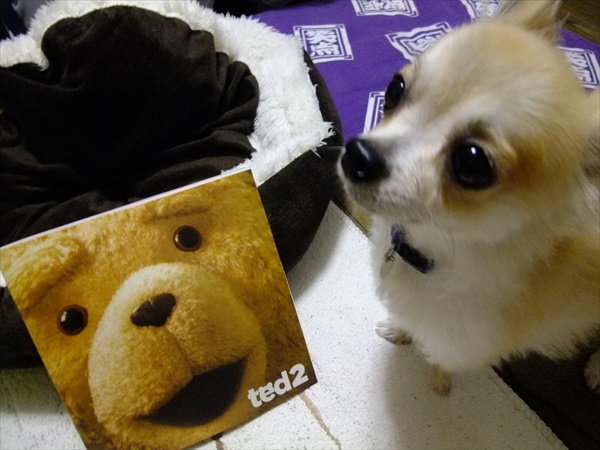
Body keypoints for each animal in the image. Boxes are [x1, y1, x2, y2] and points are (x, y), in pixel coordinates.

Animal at [338, 0, 600, 395]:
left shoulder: (466, 340)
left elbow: (442, 353)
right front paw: (400, 329)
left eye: (472, 162)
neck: (434, 254)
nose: (358, 155)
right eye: (395, 88)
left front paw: (439, 380)